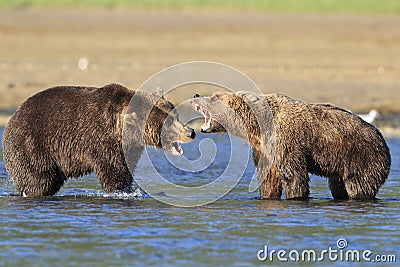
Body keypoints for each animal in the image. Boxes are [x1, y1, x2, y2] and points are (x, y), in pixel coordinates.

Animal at [1, 84, 195, 197]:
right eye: (167, 122)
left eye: (176, 115)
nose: (190, 132)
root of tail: (11, 120)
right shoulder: (102, 140)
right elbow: (113, 171)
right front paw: (122, 190)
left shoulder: (128, 146)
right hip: (32, 146)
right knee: (40, 180)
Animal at [191, 92, 390, 201]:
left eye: (215, 96)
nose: (195, 95)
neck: (256, 125)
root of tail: (381, 138)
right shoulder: (263, 147)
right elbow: (268, 176)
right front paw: (267, 195)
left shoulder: (285, 140)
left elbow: (293, 174)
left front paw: (295, 196)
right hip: (340, 166)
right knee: (338, 186)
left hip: (360, 156)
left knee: (358, 185)